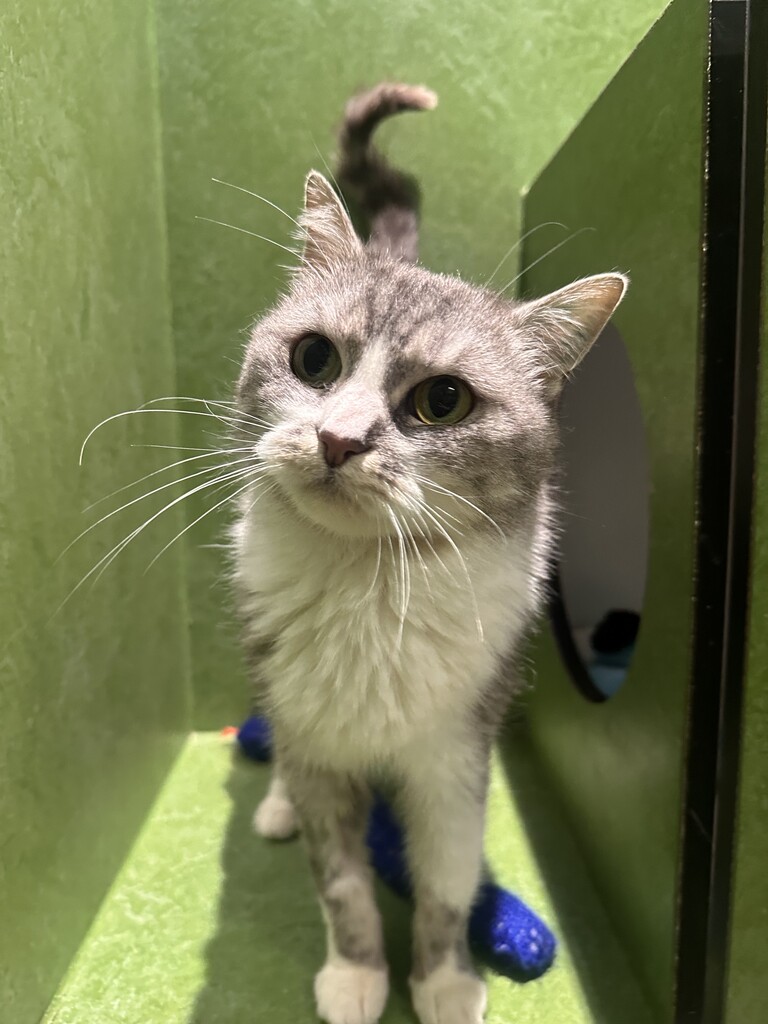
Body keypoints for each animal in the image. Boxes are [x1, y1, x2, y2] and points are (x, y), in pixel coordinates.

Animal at [231, 82, 627, 1024]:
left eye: (442, 401)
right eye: (313, 358)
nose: (338, 440)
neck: (366, 591)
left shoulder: (453, 755)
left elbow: (446, 877)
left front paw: (444, 980)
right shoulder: (319, 746)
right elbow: (341, 882)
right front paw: (356, 972)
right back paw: (275, 803)